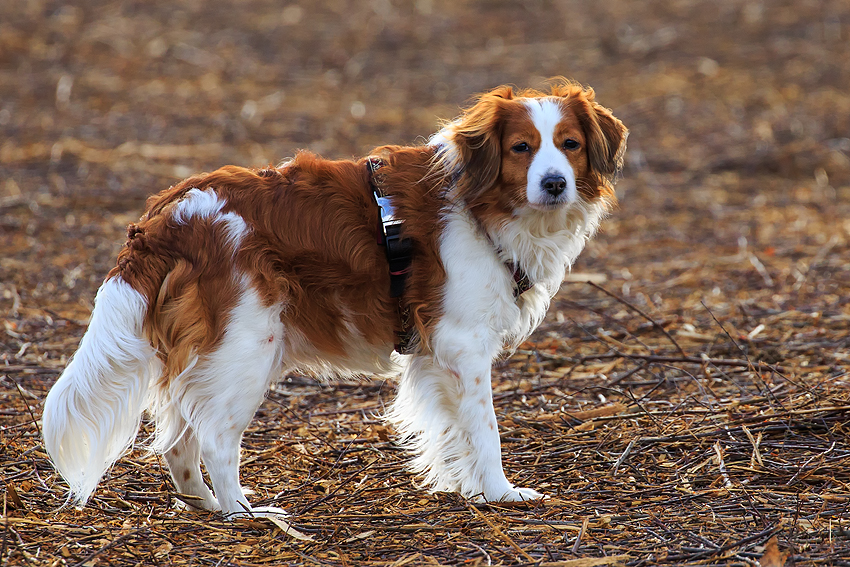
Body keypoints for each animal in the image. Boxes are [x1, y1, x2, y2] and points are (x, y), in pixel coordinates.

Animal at [43, 80, 628, 520]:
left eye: (570, 145)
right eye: (520, 148)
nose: (554, 184)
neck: (483, 207)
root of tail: (168, 216)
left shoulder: (432, 354)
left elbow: (450, 428)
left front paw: (464, 487)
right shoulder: (463, 344)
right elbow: (485, 429)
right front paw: (501, 493)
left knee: (178, 440)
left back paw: (205, 506)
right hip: (246, 347)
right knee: (213, 439)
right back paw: (244, 514)